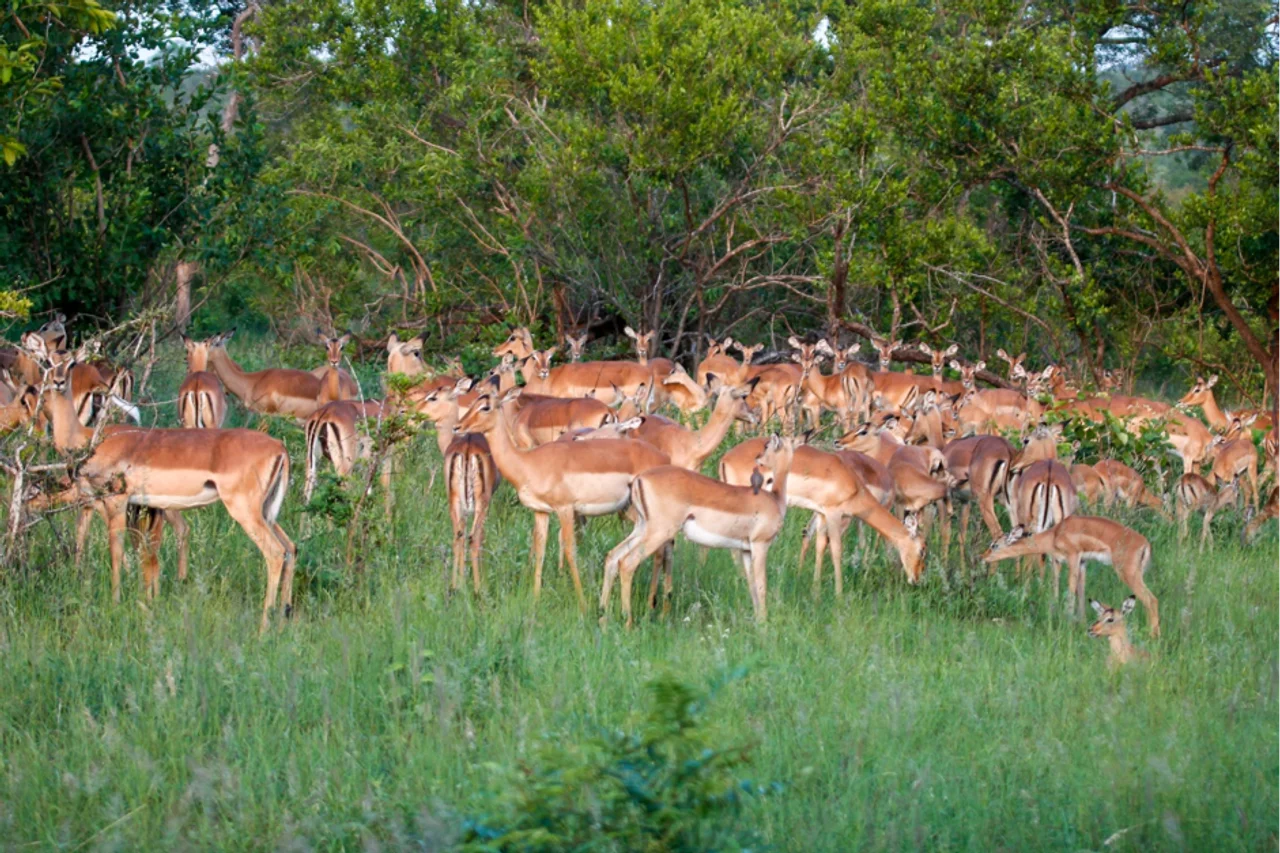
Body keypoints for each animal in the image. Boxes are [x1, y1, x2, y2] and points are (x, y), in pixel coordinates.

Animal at [31, 356, 294, 631]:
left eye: (71, 364)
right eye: (48, 363)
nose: (58, 382)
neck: (91, 440)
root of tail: (280, 449)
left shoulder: (116, 502)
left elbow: (116, 551)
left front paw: (116, 602)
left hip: (245, 512)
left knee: (275, 553)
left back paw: (264, 626)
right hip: (266, 513)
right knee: (290, 548)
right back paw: (282, 619)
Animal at [454, 389, 670, 609]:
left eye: (485, 407)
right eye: (472, 403)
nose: (458, 427)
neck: (527, 463)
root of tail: (663, 458)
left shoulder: (565, 509)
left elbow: (570, 550)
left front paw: (582, 604)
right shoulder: (541, 511)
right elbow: (540, 549)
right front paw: (535, 599)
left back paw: (654, 604)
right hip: (633, 513)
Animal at [600, 435, 797, 627]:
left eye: (766, 446)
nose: (757, 458)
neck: (775, 499)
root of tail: (640, 479)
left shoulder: (746, 550)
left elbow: (753, 587)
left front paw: (758, 622)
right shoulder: (760, 545)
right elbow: (762, 586)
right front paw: (763, 626)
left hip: (641, 529)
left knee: (613, 556)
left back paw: (603, 617)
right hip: (658, 533)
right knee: (628, 563)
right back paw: (628, 622)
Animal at [720, 438, 924, 594]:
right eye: (923, 549)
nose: (916, 578)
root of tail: (725, 458)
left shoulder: (822, 513)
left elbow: (819, 545)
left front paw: (815, 589)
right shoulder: (835, 514)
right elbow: (836, 550)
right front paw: (839, 595)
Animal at [983, 517, 1159, 636]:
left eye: (994, 545)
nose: (982, 557)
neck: (1055, 534)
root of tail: (1145, 544)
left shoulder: (1073, 557)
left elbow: (1070, 591)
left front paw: (1068, 623)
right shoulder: (1077, 562)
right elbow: (1077, 592)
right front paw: (1078, 623)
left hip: (1127, 573)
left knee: (1151, 600)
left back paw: (1153, 636)